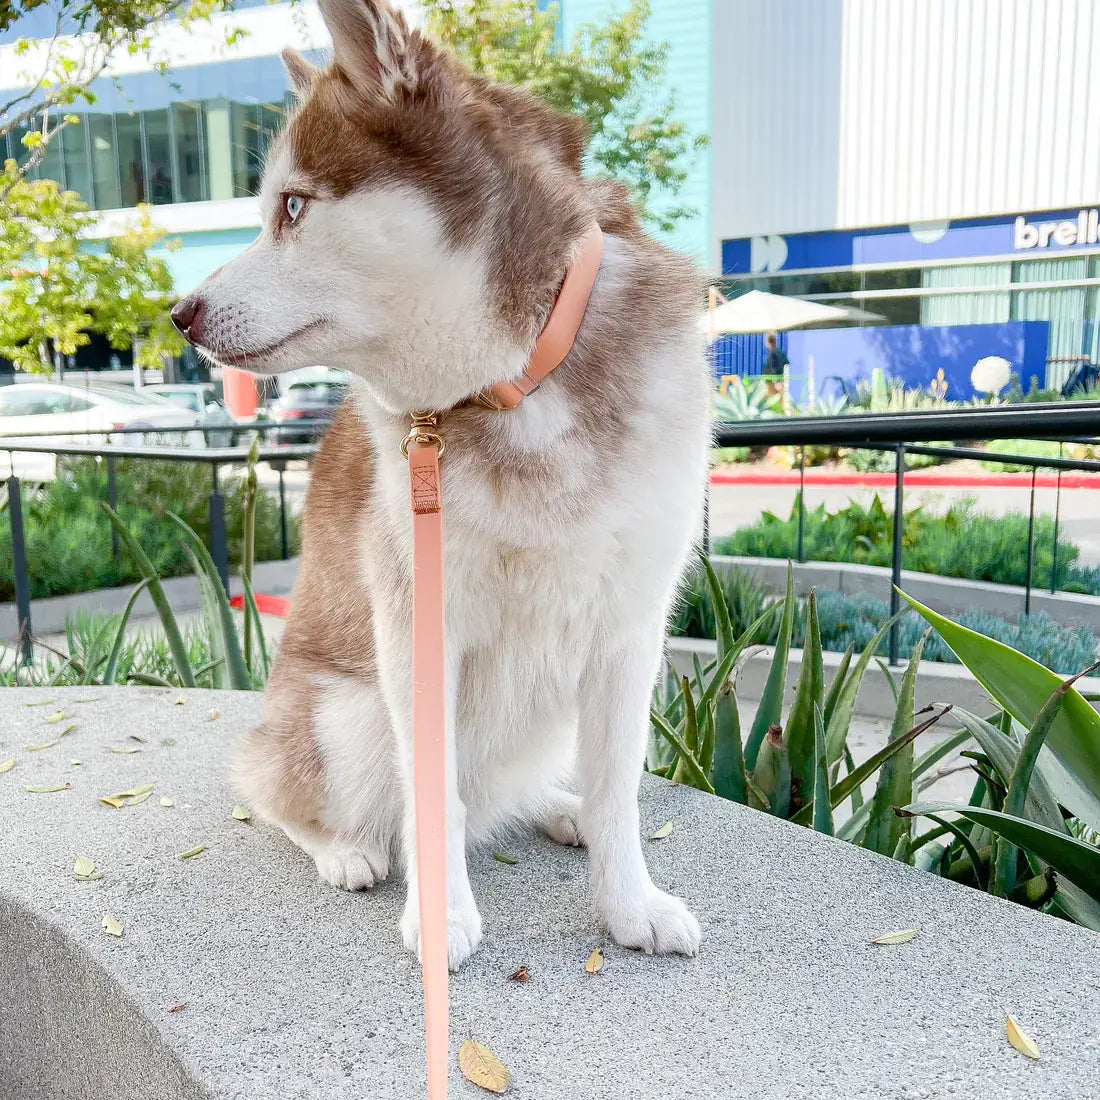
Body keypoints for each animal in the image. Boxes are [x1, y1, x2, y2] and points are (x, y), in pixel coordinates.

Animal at [167, 0, 708, 972]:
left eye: (293, 206)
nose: (179, 313)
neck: (520, 382)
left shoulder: (629, 627)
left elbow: (618, 786)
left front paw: (626, 903)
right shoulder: (419, 623)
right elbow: (434, 796)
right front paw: (442, 912)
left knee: (514, 790)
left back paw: (557, 809)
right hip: (343, 723)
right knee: (285, 792)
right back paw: (345, 849)